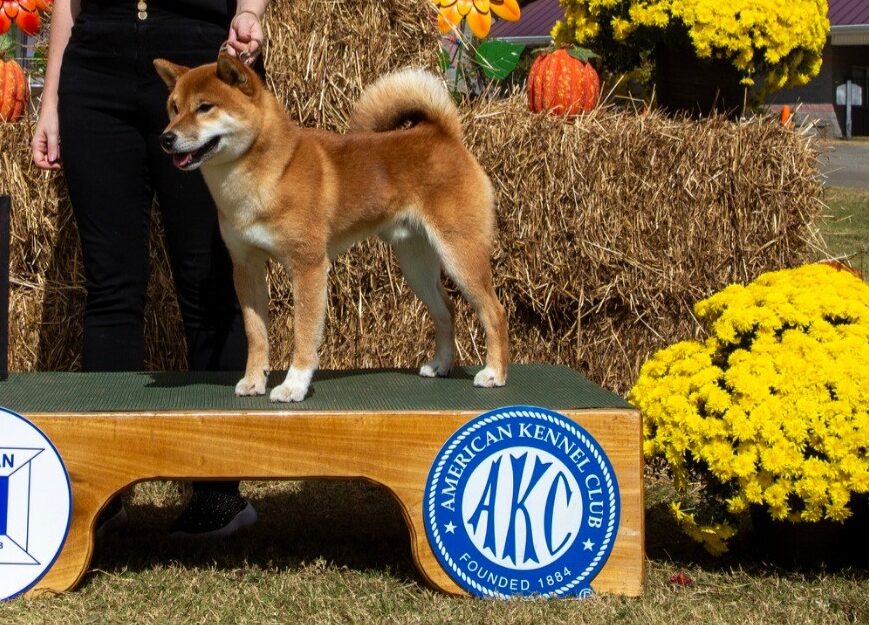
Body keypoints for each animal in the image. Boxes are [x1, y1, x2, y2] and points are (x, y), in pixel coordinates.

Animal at [153, 54, 508, 402]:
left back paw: (494, 373)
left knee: (493, 311)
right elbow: (256, 335)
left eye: (205, 107)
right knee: (446, 310)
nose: (166, 138)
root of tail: (442, 134)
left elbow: (304, 331)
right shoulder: (246, 267)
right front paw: (254, 381)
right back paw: (440, 365)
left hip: (459, 255)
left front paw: (294, 386)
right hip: (416, 264)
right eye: (174, 107)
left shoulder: (308, 265)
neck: (267, 174)